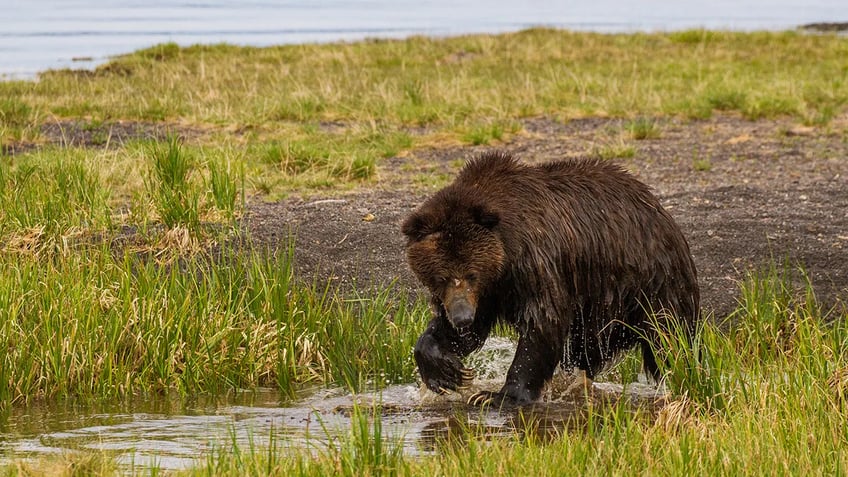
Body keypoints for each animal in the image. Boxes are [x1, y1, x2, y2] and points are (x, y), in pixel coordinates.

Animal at [400, 151, 700, 404]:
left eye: (471, 273)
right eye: (441, 277)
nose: (462, 317)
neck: (505, 258)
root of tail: (659, 208)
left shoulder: (533, 262)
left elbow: (543, 321)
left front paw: (498, 395)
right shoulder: (489, 292)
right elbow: (464, 333)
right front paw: (446, 372)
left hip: (647, 282)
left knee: (668, 336)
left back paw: (681, 372)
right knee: (584, 350)